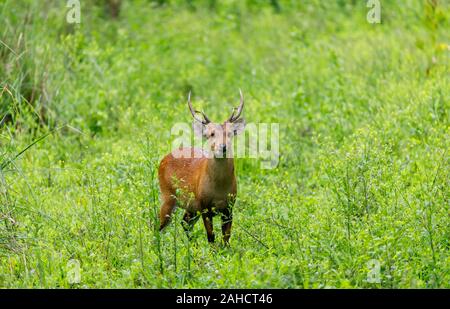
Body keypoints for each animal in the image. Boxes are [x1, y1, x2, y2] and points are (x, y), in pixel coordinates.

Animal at [159, 89, 246, 243]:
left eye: (230, 133)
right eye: (211, 134)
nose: (223, 147)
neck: (219, 190)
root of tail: (163, 159)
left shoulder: (230, 206)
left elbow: (226, 237)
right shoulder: (204, 205)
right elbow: (211, 237)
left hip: (191, 206)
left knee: (185, 222)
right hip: (167, 195)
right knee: (158, 225)